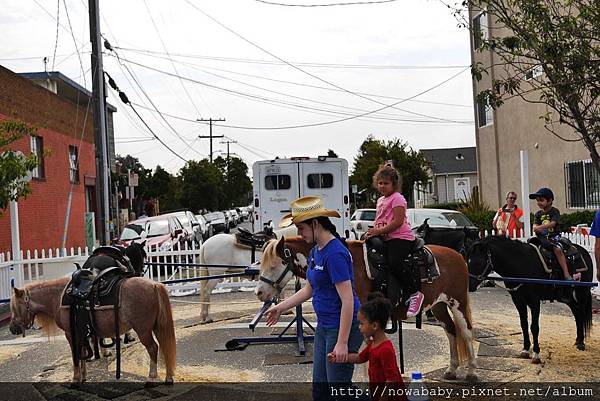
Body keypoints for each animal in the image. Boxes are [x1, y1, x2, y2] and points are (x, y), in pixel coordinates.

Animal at [9, 242, 175, 382]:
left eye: (14, 307)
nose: (12, 328)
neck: (59, 296)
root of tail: (154, 285)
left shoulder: (70, 333)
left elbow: (76, 354)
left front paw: (76, 378)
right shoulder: (81, 332)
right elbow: (82, 354)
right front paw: (83, 376)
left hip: (143, 329)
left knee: (153, 348)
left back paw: (152, 377)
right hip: (156, 326)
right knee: (163, 346)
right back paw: (168, 377)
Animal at [258, 236, 478, 380]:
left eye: (274, 265)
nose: (259, 293)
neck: (350, 265)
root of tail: (458, 255)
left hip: (457, 302)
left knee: (466, 332)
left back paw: (472, 372)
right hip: (439, 306)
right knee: (451, 331)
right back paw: (452, 369)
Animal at [466, 234, 592, 362]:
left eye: (478, 263)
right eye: (467, 260)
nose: (469, 285)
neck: (522, 264)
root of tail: (583, 252)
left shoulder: (534, 302)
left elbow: (534, 327)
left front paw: (536, 354)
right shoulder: (518, 301)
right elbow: (524, 325)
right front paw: (526, 350)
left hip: (582, 293)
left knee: (581, 313)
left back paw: (581, 343)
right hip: (567, 298)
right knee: (577, 313)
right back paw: (578, 340)